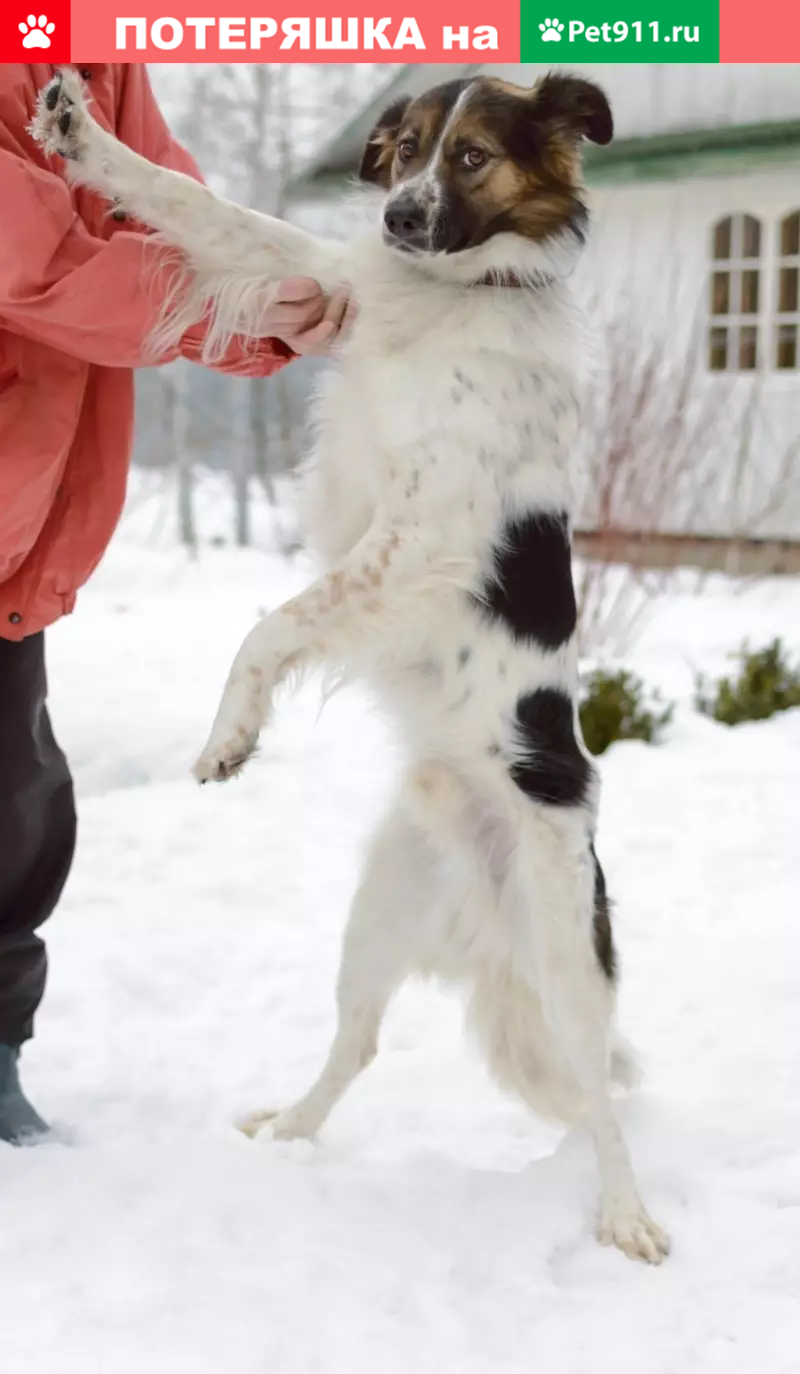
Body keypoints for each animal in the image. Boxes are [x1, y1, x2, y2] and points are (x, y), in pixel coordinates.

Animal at [31, 66, 670, 1264]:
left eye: (471, 157)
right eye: (406, 148)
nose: (398, 219)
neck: (455, 292)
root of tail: (478, 890)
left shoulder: (419, 536)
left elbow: (271, 626)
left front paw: (229, 735)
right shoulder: (320, 275)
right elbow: (198, 205)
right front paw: (75, 133)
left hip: (566, 959)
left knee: (600, 1100)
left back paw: (625, 1216)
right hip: (372, 922)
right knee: (357, 1047)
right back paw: (285, 1132)